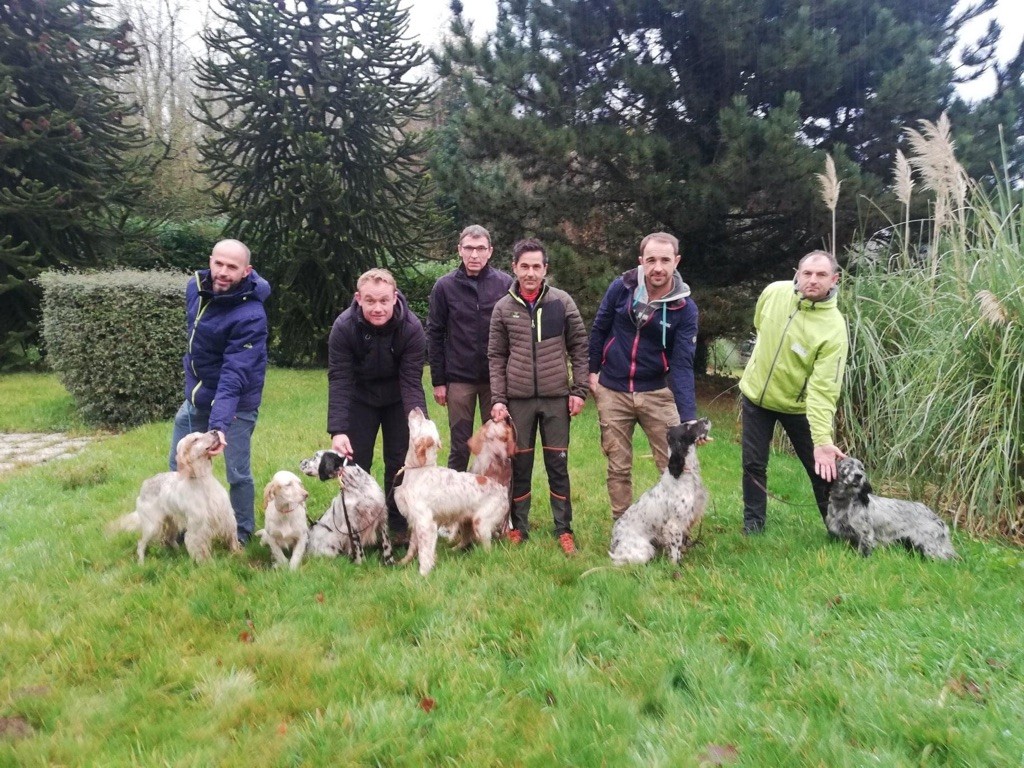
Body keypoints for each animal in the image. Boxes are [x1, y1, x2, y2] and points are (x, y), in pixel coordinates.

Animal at [823, 456, 958, 561]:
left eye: (861, 468)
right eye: (848, 465)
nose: (859, 476)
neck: (845, 502)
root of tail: (937, 518)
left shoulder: (865, 534)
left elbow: (864, 551)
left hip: (931, 546)